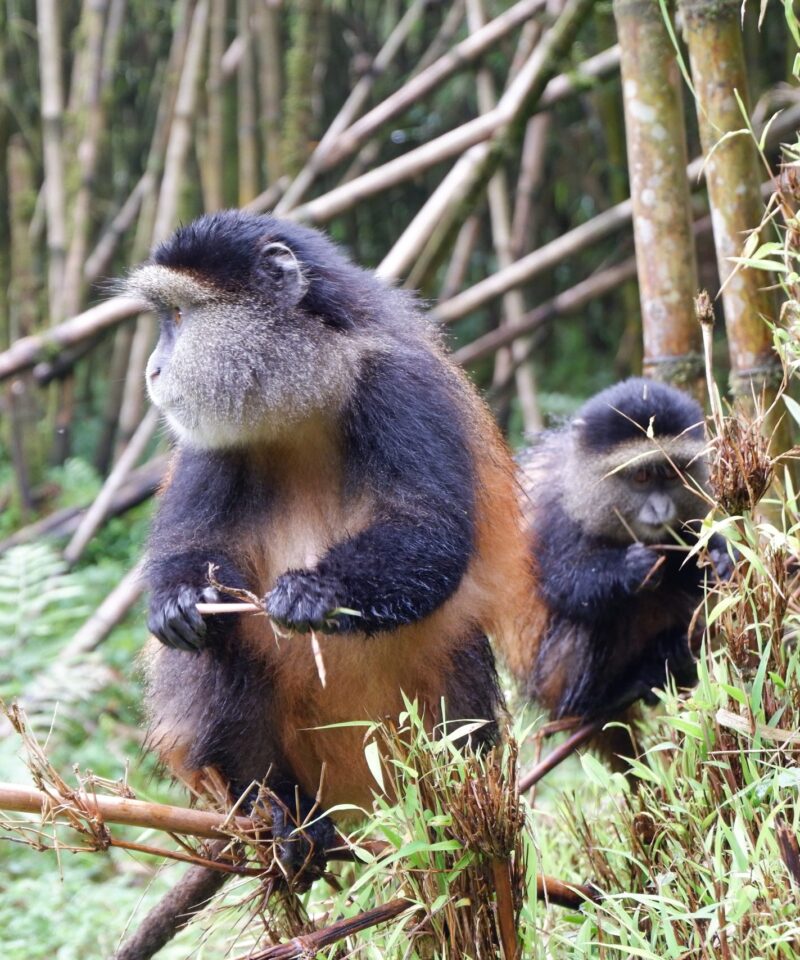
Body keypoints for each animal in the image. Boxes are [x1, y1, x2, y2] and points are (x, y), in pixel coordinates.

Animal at [123, 210, 537, 882]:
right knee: (219, 647)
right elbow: (193, 549)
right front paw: (178, 601)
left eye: (180, 317)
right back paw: (284, 817)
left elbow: (432, 535)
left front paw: (314, 591)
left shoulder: (400, 387)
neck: (309, 392)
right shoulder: (208, 441)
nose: (153, 371)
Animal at [497, 378, 730, 767]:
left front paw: (721, 559)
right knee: (598, 616)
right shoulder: (557, 515)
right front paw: (630, 569)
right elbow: (561, 585)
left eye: (671, 472)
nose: (661, 508)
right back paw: (604, 698)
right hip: (555, 678)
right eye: (641, 475)